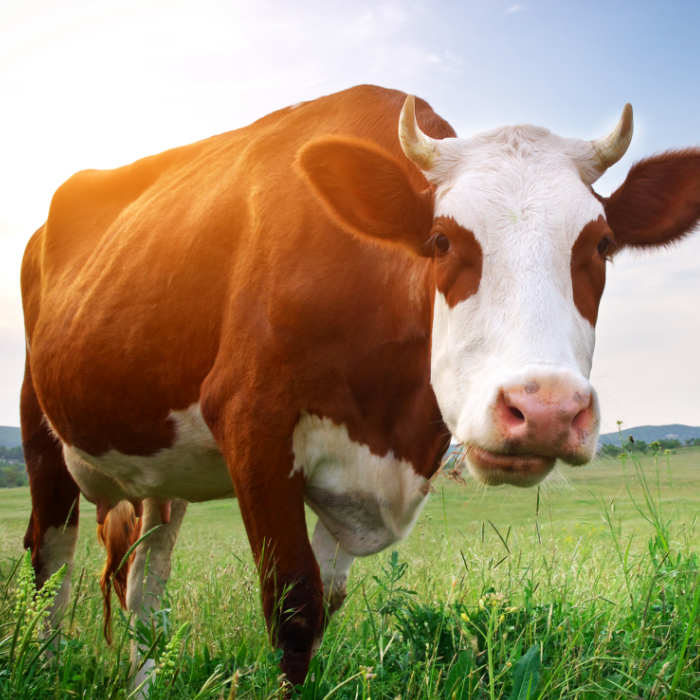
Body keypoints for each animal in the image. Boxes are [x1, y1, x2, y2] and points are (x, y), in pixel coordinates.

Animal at [20, 85, 699, 688]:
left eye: (602, 244)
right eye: (441, 240)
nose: (546, 410)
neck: (394, 423)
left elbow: (324, 606)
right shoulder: (251, 424)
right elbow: (294, 611)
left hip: (162, 471)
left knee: (144, 585)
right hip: (41, 431)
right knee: (50, 566)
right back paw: (45, 670)